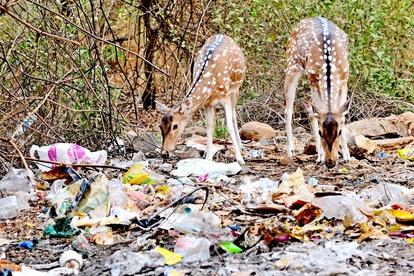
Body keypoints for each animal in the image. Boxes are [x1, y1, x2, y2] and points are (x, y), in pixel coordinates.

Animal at [160, 34, 246, 164]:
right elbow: (209, 126)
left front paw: (240, 159)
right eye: (160, 126)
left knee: (234, 116)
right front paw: (208, 157)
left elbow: (229, 125)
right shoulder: (207, 103)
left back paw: (241, 147)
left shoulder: (225, 97)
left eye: (175, 126)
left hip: (235, 89)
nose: (164, 153)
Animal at [286, 17, 350, 168]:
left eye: (339, 132)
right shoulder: (313, 80)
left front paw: (347, 155)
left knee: (309, 107)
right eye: (321, 133)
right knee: (289, 108)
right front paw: (320, 156)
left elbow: (343, 115)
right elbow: (316, 115)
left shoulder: (345, 79)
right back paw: (291, 151)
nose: (330, 162)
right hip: (292, 64)